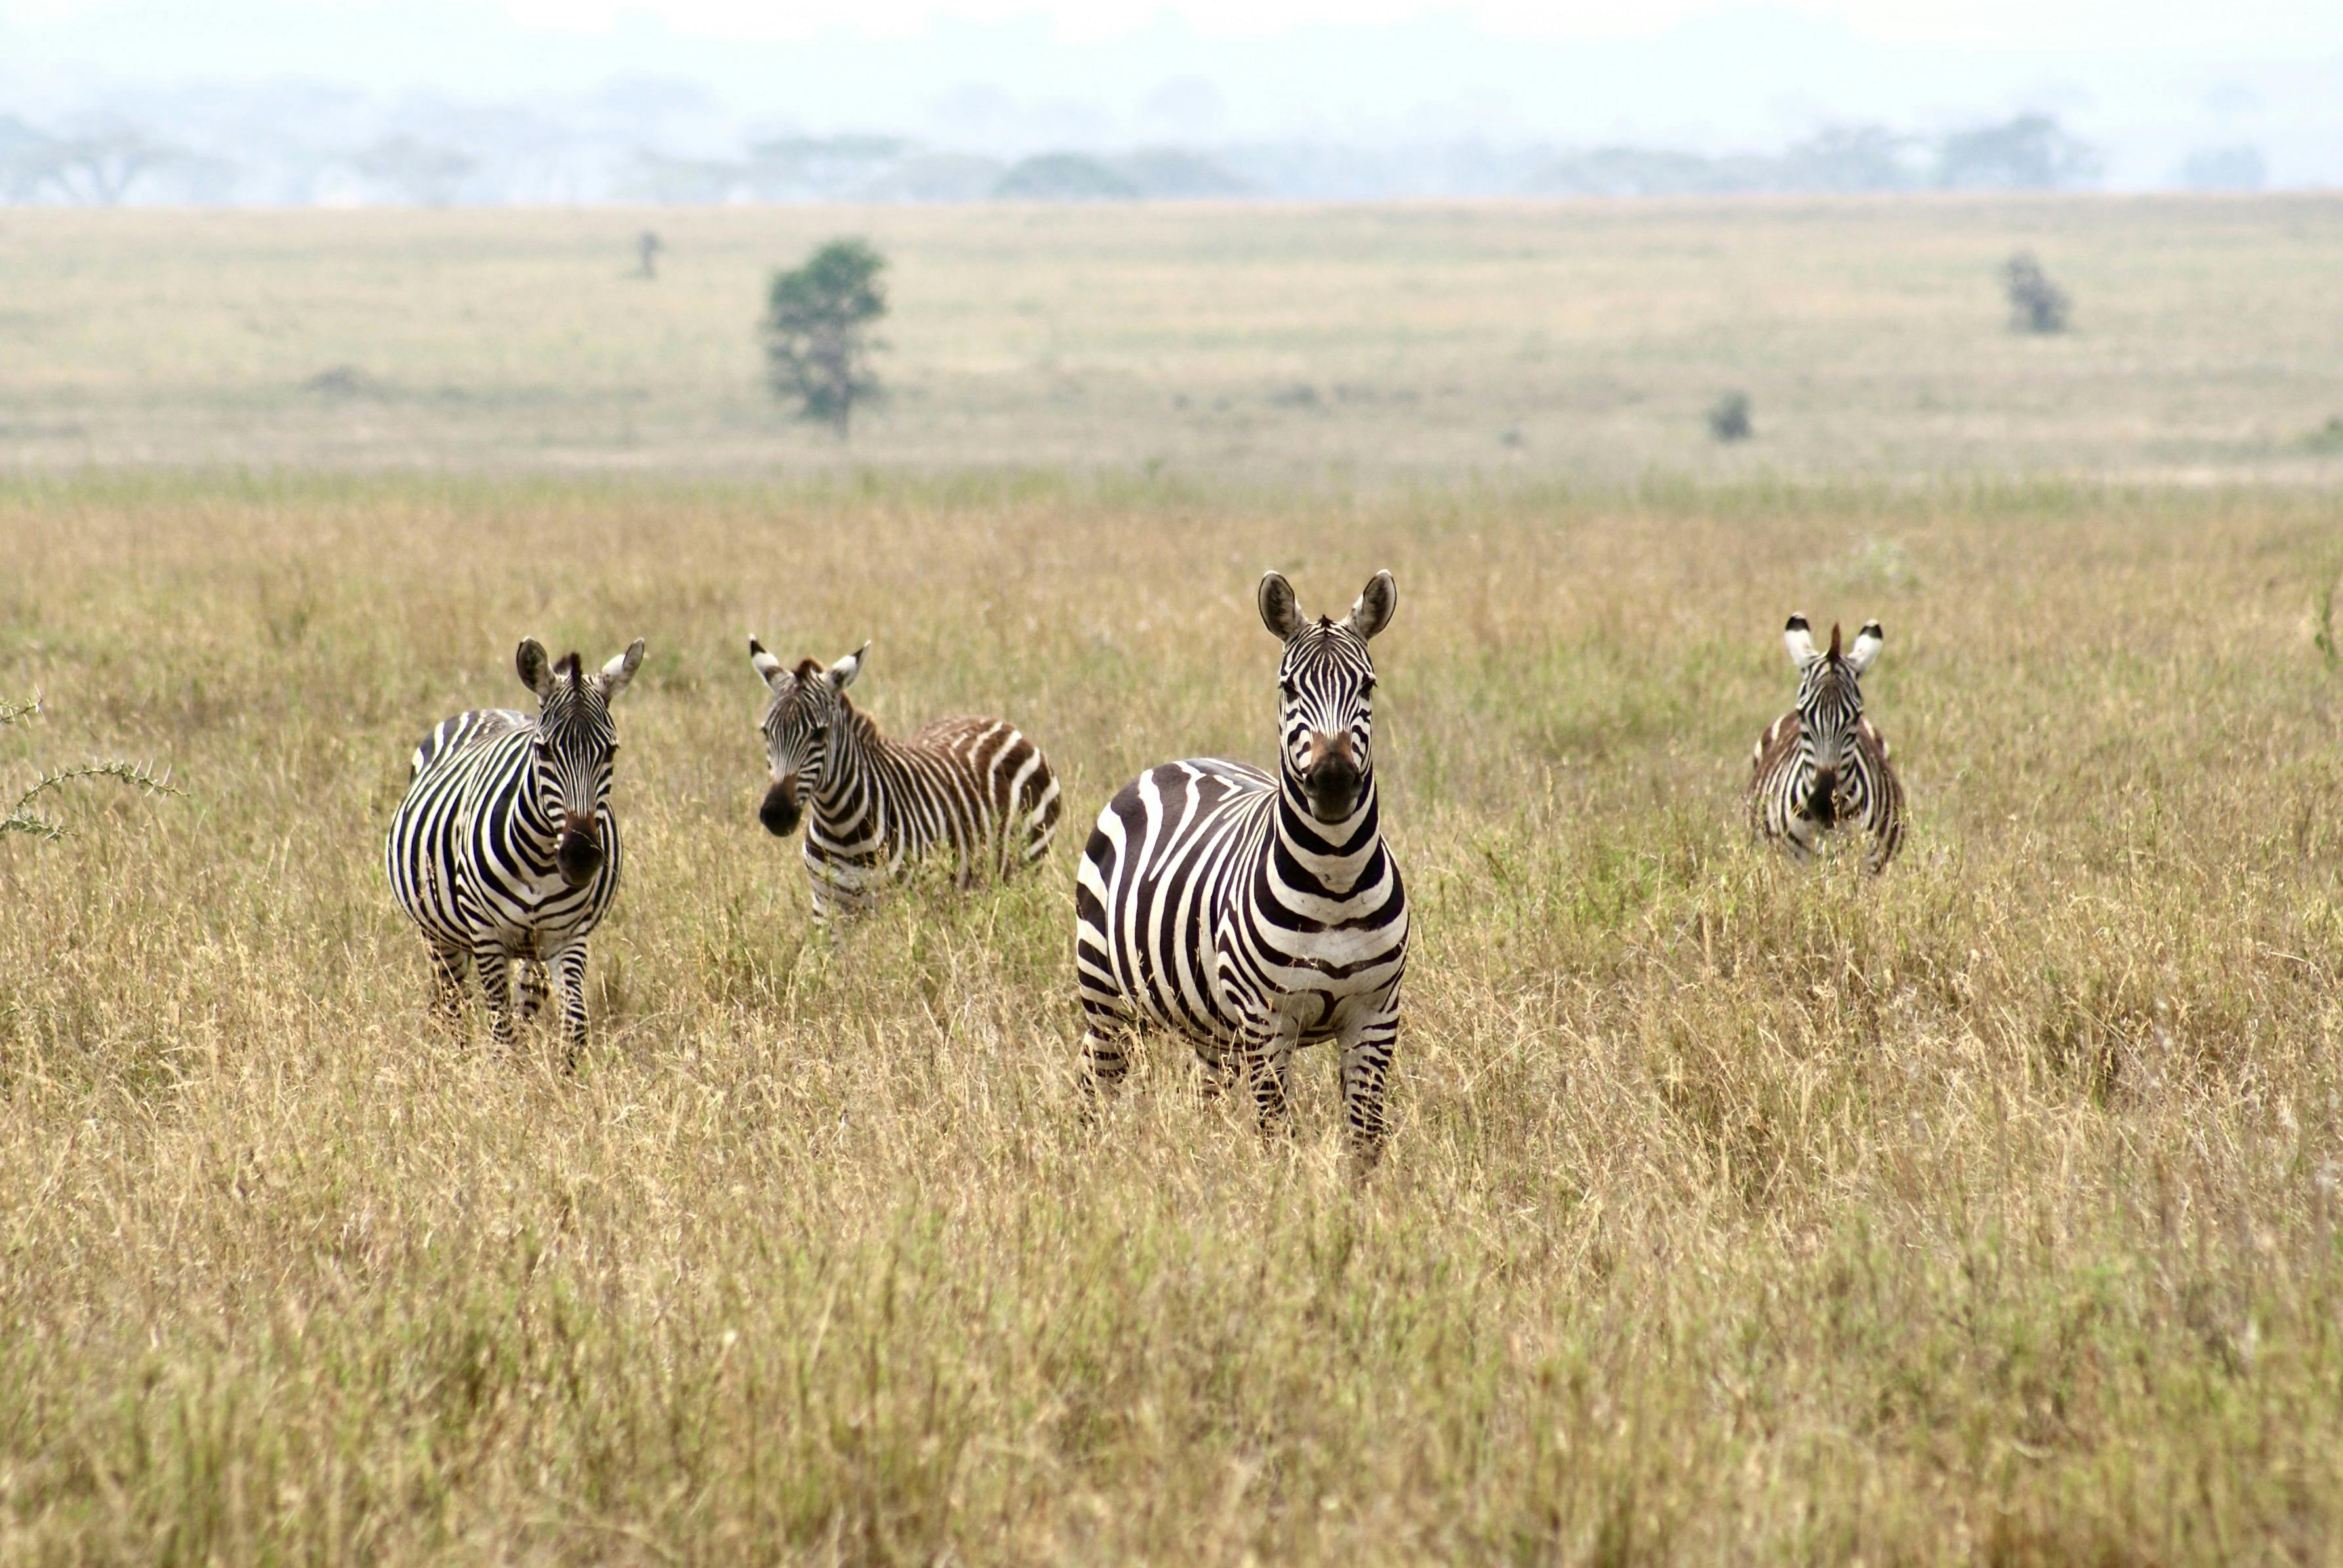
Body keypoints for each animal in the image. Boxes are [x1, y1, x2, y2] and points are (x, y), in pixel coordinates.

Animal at [385, 637, 644, 1060]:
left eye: (611, 752)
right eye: (545, 750)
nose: (580, 858)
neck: (541, 858)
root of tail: (489, 709)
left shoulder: (568, 936)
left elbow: (574, 1030)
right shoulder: (487, 935)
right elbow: (500, 1034)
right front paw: (499, 1077)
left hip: (531, 949)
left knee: (523, 1008)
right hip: (438, 932)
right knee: (453, 1006)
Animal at [747, 638, 1062, 922]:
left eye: (819, 734)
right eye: (766, 732)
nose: (776, 815)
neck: (842, 827)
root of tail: (1001, 723)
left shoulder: (908, 906)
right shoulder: (826, 906)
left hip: (1023, 871)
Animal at [1073, 570, 1409, 1164]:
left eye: (1367, 686)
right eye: (1289, 688)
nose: (1333, 781)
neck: (1336, 878)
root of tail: (1176, 762)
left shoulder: (1375, 1015)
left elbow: (1364, 1138)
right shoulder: (1266, 1020)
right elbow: (1276, 1133)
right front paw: (1282, 1189)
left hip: (1212, 1026)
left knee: (1204, 1098)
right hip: (1106, 996)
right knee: (1096, 1082)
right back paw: (1088, 1161)